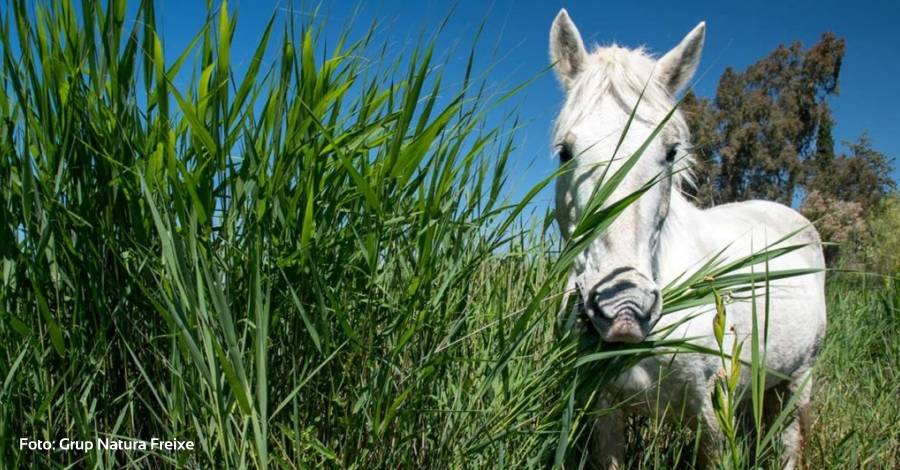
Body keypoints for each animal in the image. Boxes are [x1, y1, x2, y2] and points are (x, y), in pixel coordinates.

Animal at [544, 9, 828, 468]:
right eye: (565, 152)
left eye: (671, 152)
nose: (624, 310)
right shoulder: (604, 409)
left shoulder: (711, 413)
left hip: (798, 383)